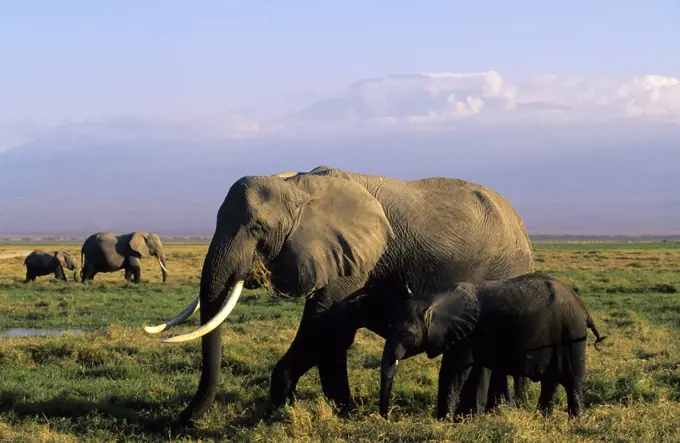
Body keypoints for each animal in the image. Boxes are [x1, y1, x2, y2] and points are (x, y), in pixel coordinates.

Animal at [146, 166, 532, 426]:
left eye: (257, 229)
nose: (185, 423)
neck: (296, 187)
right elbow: (335, 331)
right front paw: (341, 411)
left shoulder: (354, 257)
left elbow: (323, 322)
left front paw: (282, 408)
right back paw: (491, 411)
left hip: (504, 272)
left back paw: (482, 414)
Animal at [380, 272, 608, 422]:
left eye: (406, 335)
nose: (385, 418)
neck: (434, 299)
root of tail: (584, 310)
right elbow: (476, 370)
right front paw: (466, 420)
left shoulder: (465, 334)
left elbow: (454, 372)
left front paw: (444, 422)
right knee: (551, 381)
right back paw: (543, 420)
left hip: (571, 333)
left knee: (572, 381)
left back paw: (575, 422)